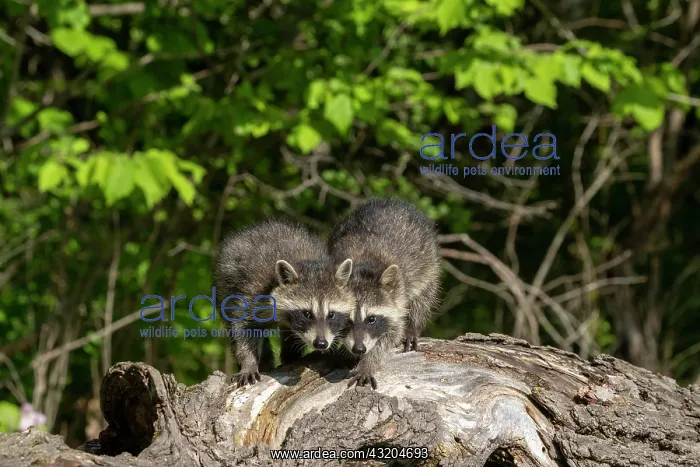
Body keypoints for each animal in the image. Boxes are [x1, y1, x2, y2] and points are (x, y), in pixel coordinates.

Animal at [215, 219, 356, 387]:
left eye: (332, 315)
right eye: (307, 314)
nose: (321, 343)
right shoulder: (252, 292)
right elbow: (243, 328)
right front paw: (248, 363)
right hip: (225, 284)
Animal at [328, 199, 441, 389]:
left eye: (372, 319)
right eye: (345, 319)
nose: (359, 349)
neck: (358, 268)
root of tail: (391, 201)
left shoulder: (397, 299)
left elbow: (391, 334)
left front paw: (368, 363)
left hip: (428, 261)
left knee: (423, 296)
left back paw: (413, 326)